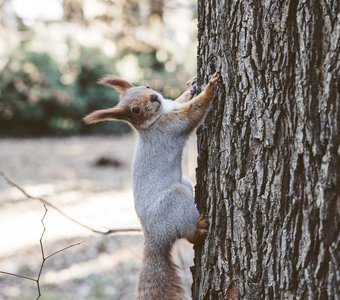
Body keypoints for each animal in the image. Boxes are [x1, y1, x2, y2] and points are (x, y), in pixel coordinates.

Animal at [83, 72, 219, 300]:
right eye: (135, 110)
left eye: (146, 86)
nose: (154, 97)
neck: (156, 119)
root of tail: (154, 237)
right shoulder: (171, 126)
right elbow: (193, 112)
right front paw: (210, 88)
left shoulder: (171, 106)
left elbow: (181, 99)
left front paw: (192, 85)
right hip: (175, 200)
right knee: (188, 234)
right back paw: (198, 228)